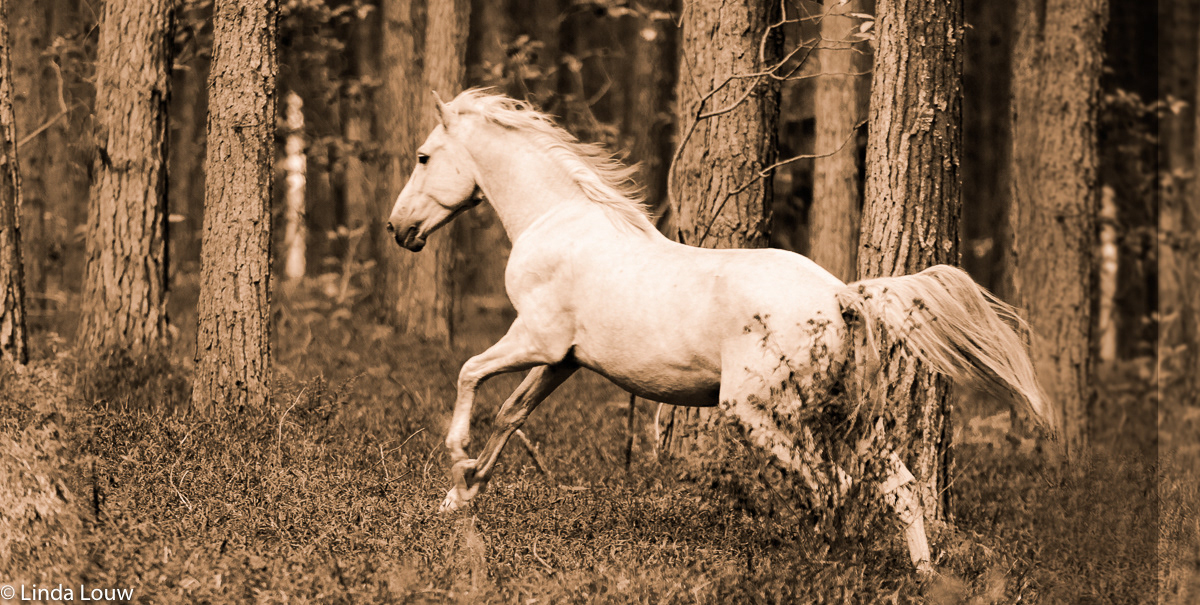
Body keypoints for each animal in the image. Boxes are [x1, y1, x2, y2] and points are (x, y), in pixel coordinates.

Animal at [385, 89, 1056, 573]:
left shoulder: (535, 340)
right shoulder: (563, 360)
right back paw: (920, 575)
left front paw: (456, 463)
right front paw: (459, 499)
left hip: (755, 412)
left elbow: (468, 375)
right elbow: (511, 415)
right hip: (850, 417)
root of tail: (841, 296)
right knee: (897, 486)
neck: (557, 220)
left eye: (423, 156)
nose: (398, 228)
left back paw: (819, 564)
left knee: (833, 486)